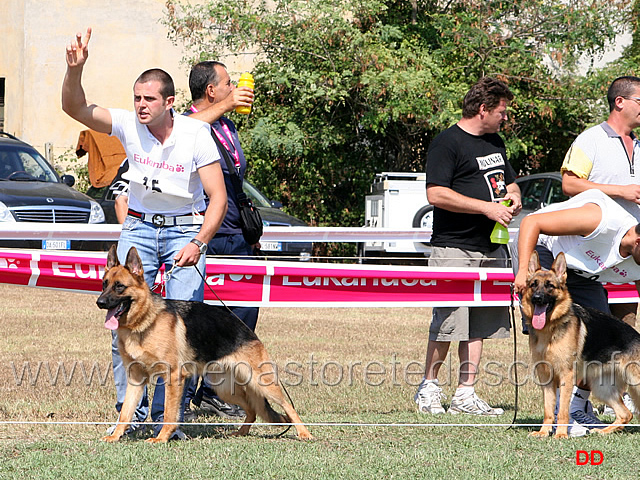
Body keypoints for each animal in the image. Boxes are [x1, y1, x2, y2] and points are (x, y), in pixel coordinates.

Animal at [95, 246, 312, 444]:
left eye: (119, 287)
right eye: (104, 284)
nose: (100, 302)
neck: (144, 322)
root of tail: (246, 329)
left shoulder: (173, 376)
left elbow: (169, 413)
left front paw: (162, 438)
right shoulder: (136, 379)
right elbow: (125, 412)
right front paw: (116, 436)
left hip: (262, 383)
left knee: (288, 406)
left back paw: (304, 433)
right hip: (224, 388)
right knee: (252, 410)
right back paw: (241, 433)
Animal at [524, 251, 640, 438]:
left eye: (550, 286)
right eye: (533, 285)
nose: (537, 298)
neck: (550, 329)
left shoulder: (566, 375)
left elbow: (563, 410)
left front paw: (561, 434)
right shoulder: (546, 377)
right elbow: (548, 409)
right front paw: (543, 432)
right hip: (602, 389)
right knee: (625, 414)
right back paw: (603, 431)